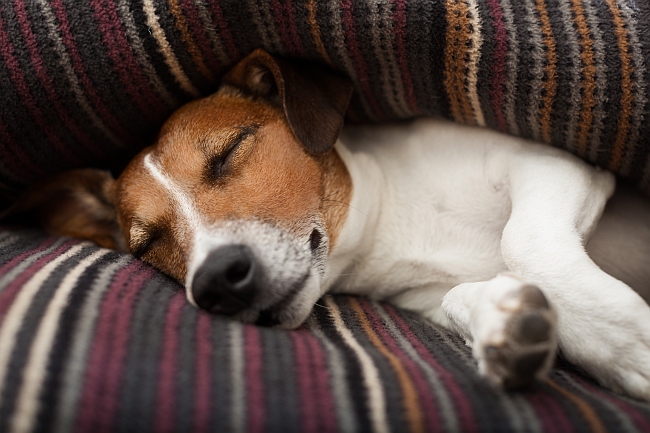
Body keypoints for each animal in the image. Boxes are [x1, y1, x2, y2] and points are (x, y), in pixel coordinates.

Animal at [7, 49, 648, 400]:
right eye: (147, 245)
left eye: (230, 151)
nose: (215, 281)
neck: (392, 225)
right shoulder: (428, 297)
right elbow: (465, 295)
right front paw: (509, 324)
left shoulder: (553, 164)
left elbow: (523, 242)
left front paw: (628, 344)